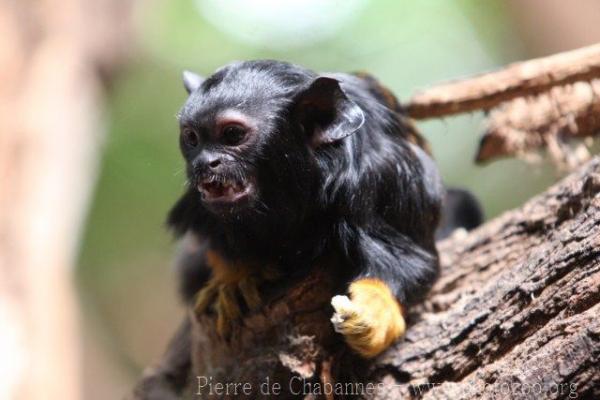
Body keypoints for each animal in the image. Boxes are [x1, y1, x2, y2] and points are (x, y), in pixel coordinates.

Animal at [130, 60, 482, 400]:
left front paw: (373, 315)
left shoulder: (385, 174)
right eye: (192, 139)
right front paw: (237, 276)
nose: (205, 162)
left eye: (232, 135)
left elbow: (410, 260)